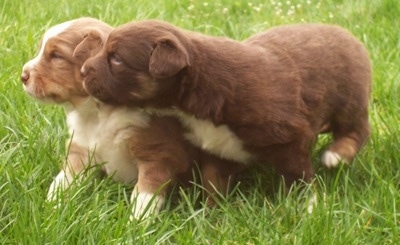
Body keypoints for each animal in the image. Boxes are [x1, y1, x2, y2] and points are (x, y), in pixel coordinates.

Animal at [21, 17, 238, 220]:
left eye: (56, 56)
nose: (22, 76)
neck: (98, 116)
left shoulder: (158, 155)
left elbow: (144, 197)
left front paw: (136, 224)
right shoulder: (81, 151)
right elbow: (61, 182)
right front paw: (49, 209)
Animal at [81, 20, 372, 190]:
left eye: (117, 59)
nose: (82, 70)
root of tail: (350, 35)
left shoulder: (292, 137)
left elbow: (297, 175)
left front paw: (305, 206)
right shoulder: (219, 150)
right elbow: (213, 182)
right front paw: (210, 215)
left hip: (350, 99)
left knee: (357, 130)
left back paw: (336, 155)